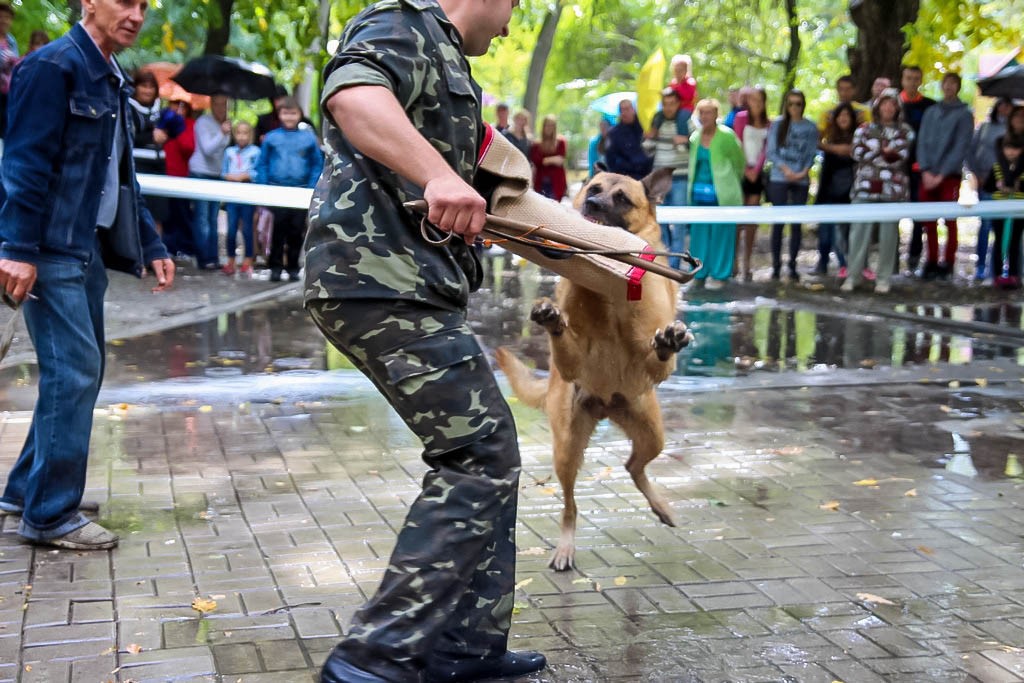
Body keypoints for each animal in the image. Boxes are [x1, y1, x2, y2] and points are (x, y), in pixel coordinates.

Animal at [497, 166, 696, 573]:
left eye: (622, 199)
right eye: (593, 188)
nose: (591, 203)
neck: (610, 291)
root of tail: (606, 406)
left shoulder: (655, 365)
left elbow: (660, 352)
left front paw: (669, 340)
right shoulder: (572, 359)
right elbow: (564, 337)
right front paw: (551, 319)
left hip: (653, 433)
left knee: (634, 465)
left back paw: (662, 507)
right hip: (567, 450)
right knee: (571, 504)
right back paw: (565, 546)